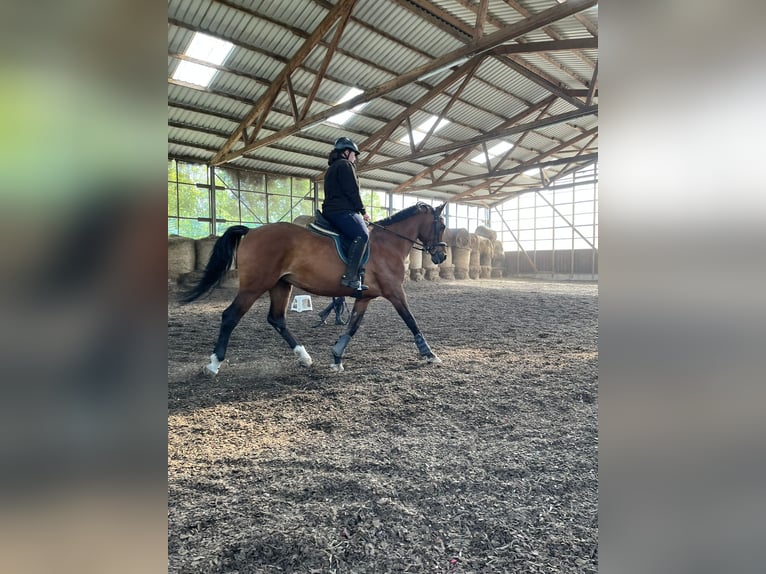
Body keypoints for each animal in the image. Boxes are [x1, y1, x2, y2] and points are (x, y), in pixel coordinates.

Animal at [179, 202, 447, 373]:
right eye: (443, 226)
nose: (442, 256)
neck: (389, 243)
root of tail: (252, 231)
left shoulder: (364, 297)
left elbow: (352, 326)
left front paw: (337, 357)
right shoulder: (394, 292)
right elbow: (411, 320)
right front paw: (430, 354)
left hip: (280, 286)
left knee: (277, 319)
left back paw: (304, 357)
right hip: (254, 286)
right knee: (230, 316)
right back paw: (214, 364)